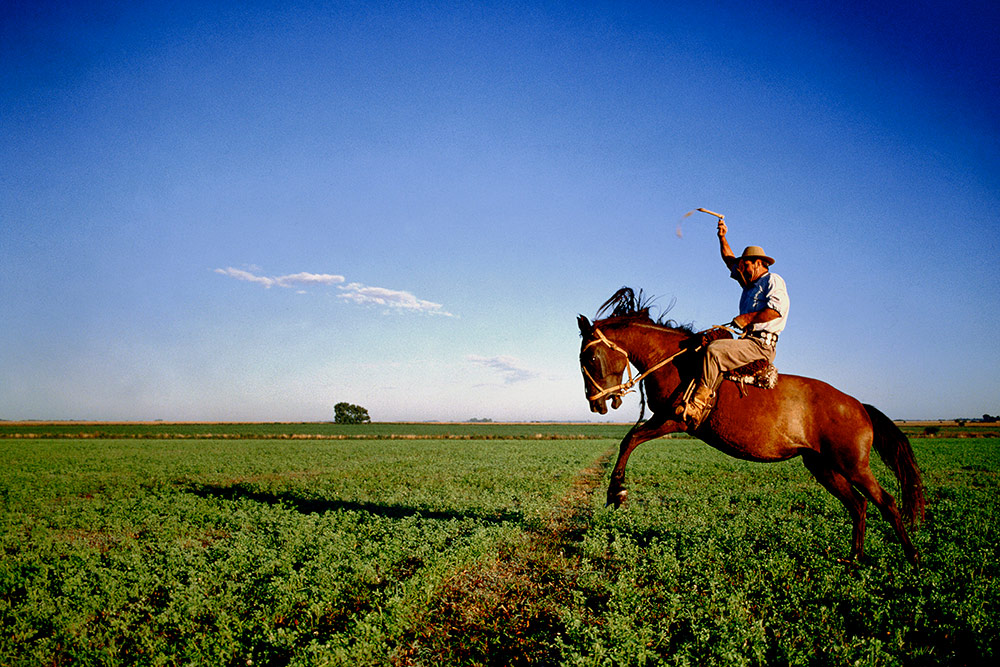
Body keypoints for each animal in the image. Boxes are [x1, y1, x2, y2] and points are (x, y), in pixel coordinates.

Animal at [584, 288, 924, 564]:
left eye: (591, 358)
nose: (596, 404)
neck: (676, 361)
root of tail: (858, 406)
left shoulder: (674, 419)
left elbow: (630, 439)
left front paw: (616, 492)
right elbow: (630, 439)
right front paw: (616, 492)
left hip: (853, 465)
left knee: (886, 502)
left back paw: (913, 558)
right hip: (824, 467)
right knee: (859, 504)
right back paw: (854, 558)